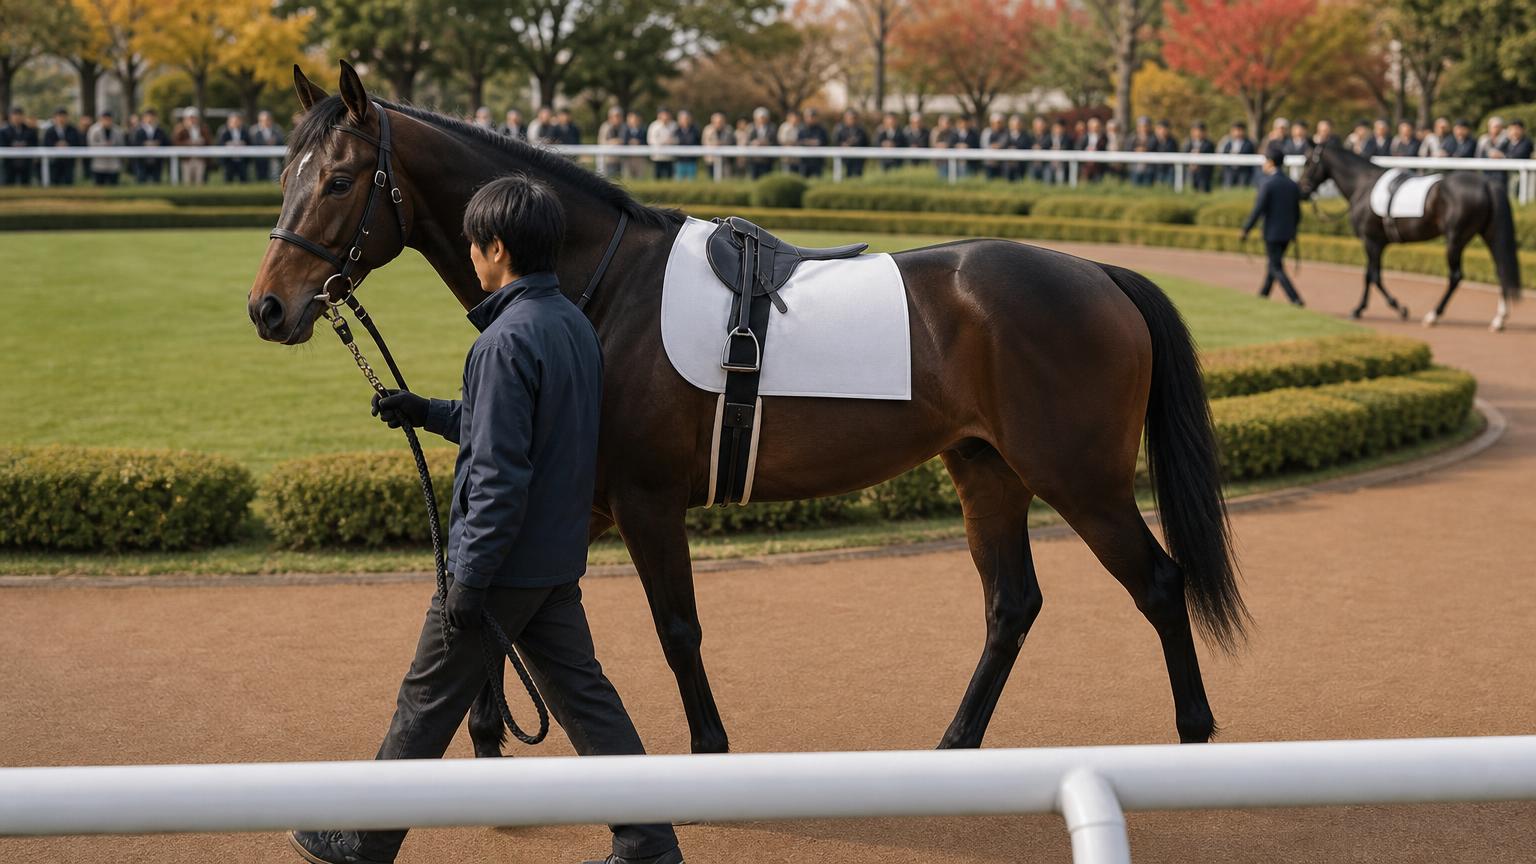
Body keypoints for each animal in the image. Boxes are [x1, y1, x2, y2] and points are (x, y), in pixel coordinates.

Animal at [248, 62, 1247, 757]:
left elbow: (677, 629)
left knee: (1160, 585)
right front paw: (488, 734)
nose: (269, 307)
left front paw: (708, 750)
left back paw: (1195, 735)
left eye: (338, 181)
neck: (593, 284)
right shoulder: (578, 491)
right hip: (986, 470)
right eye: (285, 174)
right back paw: (954, 745)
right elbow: (493, 595)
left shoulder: (647, 500)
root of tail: (1100, 273)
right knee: (1012, 605)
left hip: (1080, 478)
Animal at [1297, 141, 1521, 331]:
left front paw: (1392, 308)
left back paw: (1433, 315)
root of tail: (1486, 184)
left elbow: (1373, 276)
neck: (1362, 185)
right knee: (1500, 268)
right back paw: (1499, 319)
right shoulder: (1378, 243)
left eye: (1308, 162)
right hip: (1489, 234)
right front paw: (1366, 308)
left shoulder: (1372, 241)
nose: (1303, 190)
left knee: (1456, 276)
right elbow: (1370, 275)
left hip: (1456, 239)